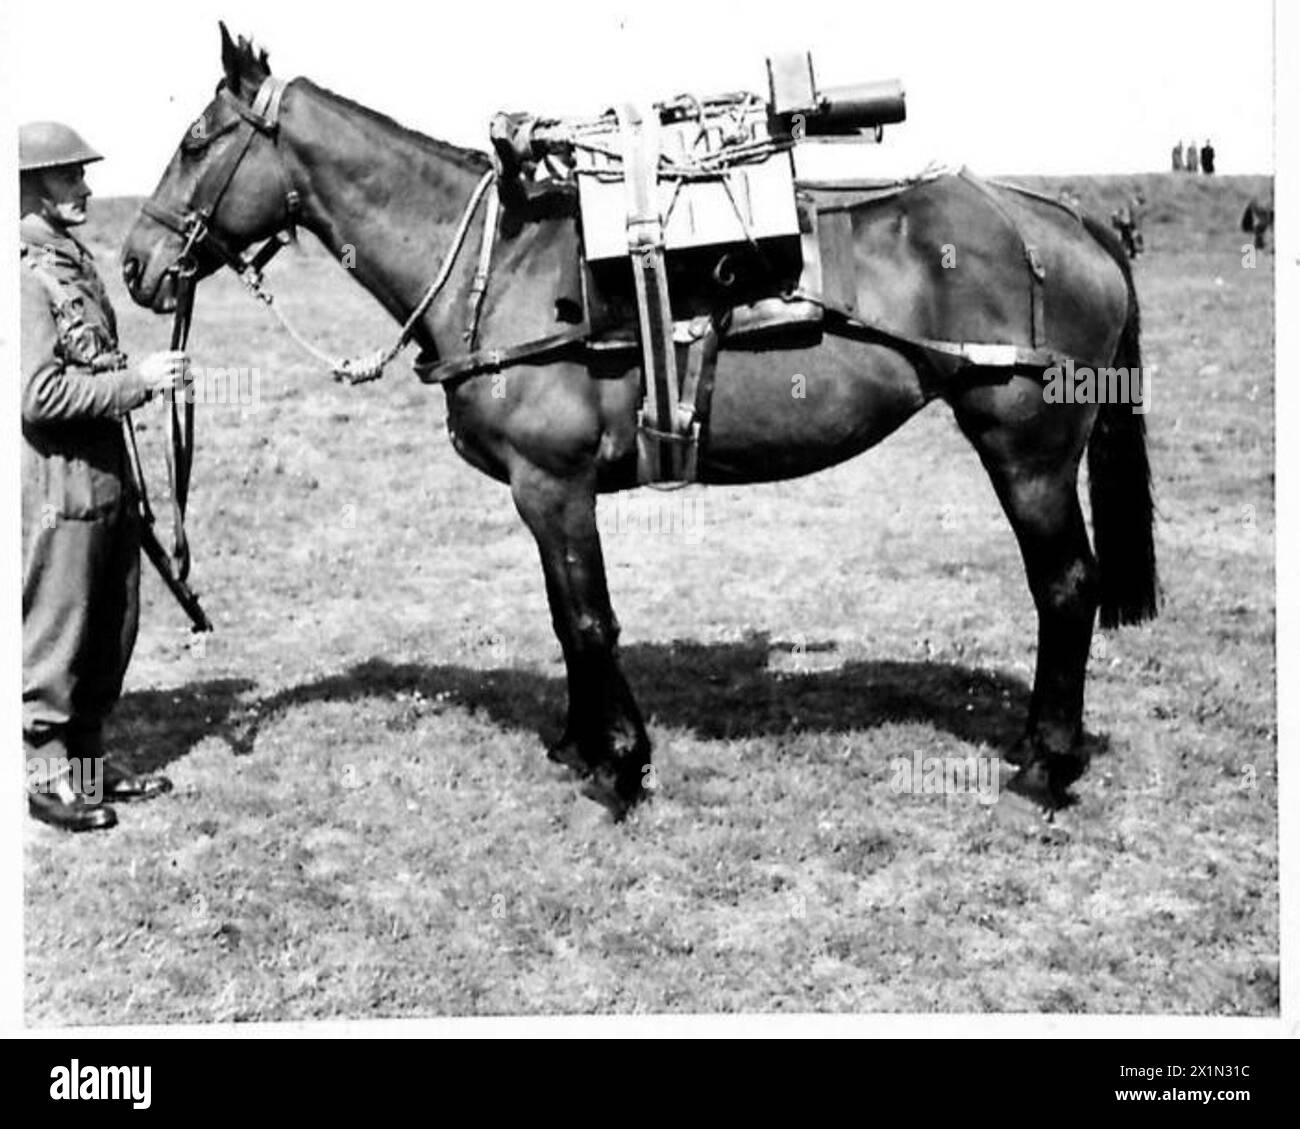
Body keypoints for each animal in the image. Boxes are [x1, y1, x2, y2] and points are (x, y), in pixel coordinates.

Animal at [121, 27, 1157, 817]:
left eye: (199, 139)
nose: (135, 264)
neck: (498, 268)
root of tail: (1071, 220)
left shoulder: (555, 483)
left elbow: (588, 619)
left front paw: (618, 765)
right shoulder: (546, 495)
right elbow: (564, 615)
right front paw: (583, 745)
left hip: (1025, 449)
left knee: (1066, 585)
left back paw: (1043, 767)